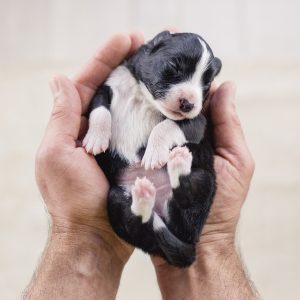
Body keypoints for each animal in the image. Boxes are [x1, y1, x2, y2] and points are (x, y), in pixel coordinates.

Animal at [83, 31, 221, 268]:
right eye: (173, 66)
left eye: (207, 83)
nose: (189, 104)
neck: (144, 96)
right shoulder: (107, 87)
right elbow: (100, 109)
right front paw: (96, 138)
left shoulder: (198, 121)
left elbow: (166, 126)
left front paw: (154, 154)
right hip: (115, 199)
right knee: (138, 222)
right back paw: (143, 198)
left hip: (205, 182)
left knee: (186, 194)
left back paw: (178, 164)